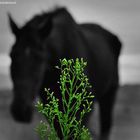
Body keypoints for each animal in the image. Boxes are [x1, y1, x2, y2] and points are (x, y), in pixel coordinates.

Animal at [8, 7, 121, 139]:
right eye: (11, 55)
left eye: (39, 58)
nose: (20, 111)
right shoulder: (51, 107)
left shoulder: (83, 110)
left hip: (110, 92)